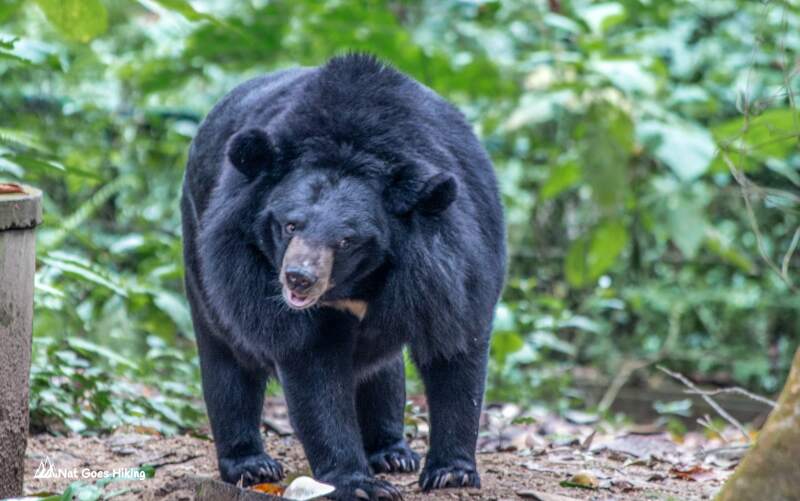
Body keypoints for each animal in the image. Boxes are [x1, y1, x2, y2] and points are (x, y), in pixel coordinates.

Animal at [181, 54, 506, 500]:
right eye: (290, 225)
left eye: (347, 240)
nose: (298, 278)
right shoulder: (246, 267)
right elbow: (312, 369)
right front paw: (360, 484)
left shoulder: (453, 264)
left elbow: (456, 349)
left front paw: (450, 473)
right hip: (199, 244)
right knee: (227, 358)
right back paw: (251, 464)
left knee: (381, 371)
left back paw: (393, 452)